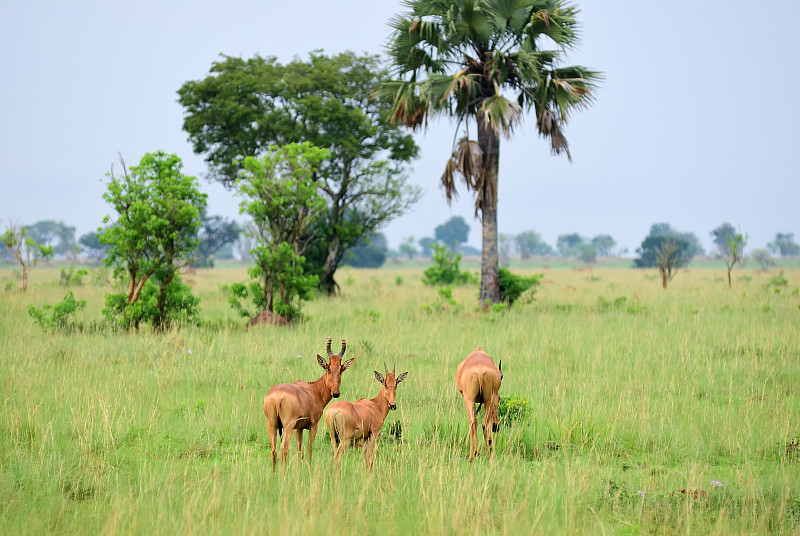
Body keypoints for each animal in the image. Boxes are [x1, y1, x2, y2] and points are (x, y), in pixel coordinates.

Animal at [262, 340, 354, 468]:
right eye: (328, 368)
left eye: (341, 369)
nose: (335, 393)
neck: (313, 390)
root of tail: (277, 395)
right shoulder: (313, 424)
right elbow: (309, 449)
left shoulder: (299, 428)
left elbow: (300, 451)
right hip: (288, 426)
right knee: (283, 449)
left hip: (272, 424)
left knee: (273, 451)